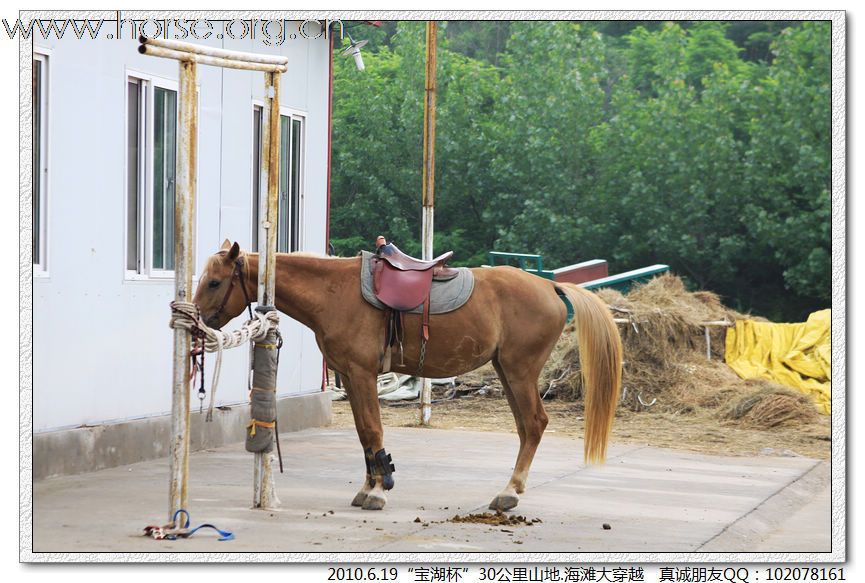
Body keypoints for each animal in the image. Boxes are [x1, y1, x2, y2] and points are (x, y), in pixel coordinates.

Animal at [194, 241, 620, 512]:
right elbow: (364, 434)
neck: (336, 293)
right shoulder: (351, 376)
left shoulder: (362, 374)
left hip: (519, 371)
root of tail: (550, 284)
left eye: (214, 282)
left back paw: (510, 493)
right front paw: (369, 486)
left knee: (533, 423)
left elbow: (372, 430)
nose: (197, 325)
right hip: (508, 371)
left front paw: (379, 492)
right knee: (524, 427)